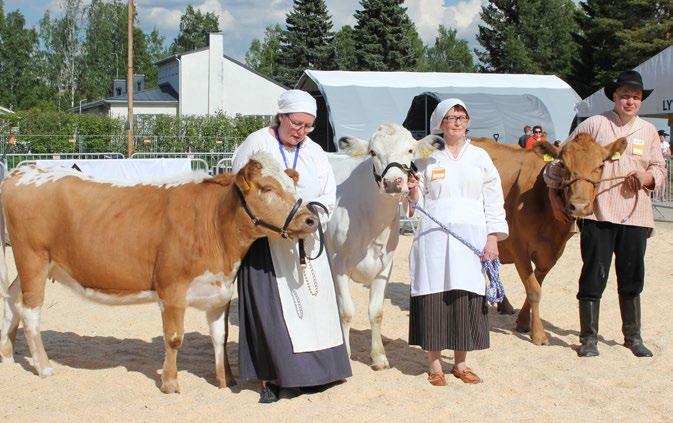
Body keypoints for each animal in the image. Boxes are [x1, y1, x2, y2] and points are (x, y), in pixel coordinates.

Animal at [0, 154, 318, 396]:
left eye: (292, 184)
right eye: (267, 188)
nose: (310, 219)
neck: (213, 221)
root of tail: (21, 172)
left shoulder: (220, 292)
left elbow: (220, 336)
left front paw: (225, 379)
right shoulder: (172, 290)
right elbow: (174, 338)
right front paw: (170, 383)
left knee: (11, 299)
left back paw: (6, 352)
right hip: (33, 259)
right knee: (30, 311)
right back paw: (43, 366)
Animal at [326, 124, 446, 370]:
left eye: (410, 150)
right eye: (372, 152)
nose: (392, 182)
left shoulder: (385, 265)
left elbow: (376, 312)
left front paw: (379, 356)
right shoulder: (337, 261)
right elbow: (346, 311)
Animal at [472, 134, 624, 346]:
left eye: (601, 165)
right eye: (563, 165)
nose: (579, 206)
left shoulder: (553, 252)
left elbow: (536, 283)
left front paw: (523, 322)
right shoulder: (519, 248)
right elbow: (534, 289)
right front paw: (538, 334)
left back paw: (505, 305)